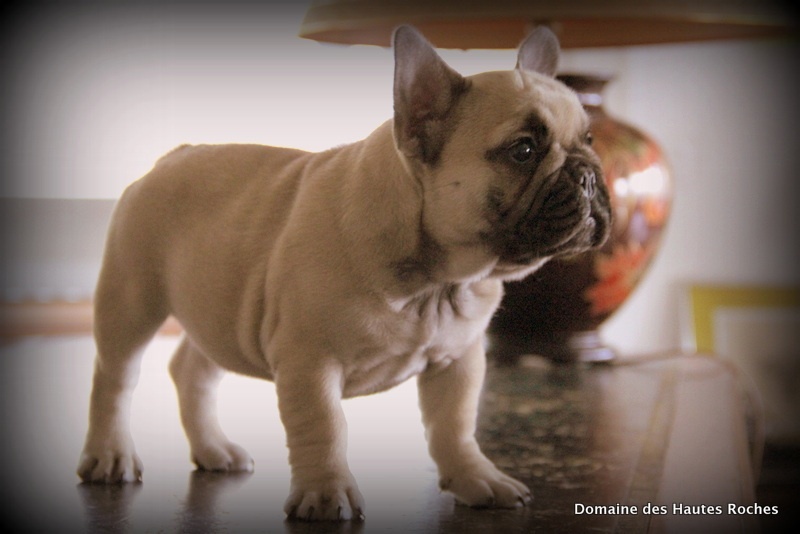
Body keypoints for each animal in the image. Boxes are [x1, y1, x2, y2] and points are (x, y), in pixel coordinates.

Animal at [78, 25, 608, 524]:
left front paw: (477, 478)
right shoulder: (310, 362)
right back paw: (109, 455)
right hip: (132, 302)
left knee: (193, 370)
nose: (589, 175)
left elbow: (455, 425)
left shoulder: (458, 360)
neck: (435, 283)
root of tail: (172, 155)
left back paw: (214, 449)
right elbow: (324, 428)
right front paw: (324, 494)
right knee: (114, 379)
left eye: (589, 140)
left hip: (222, 312)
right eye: (523, 151)